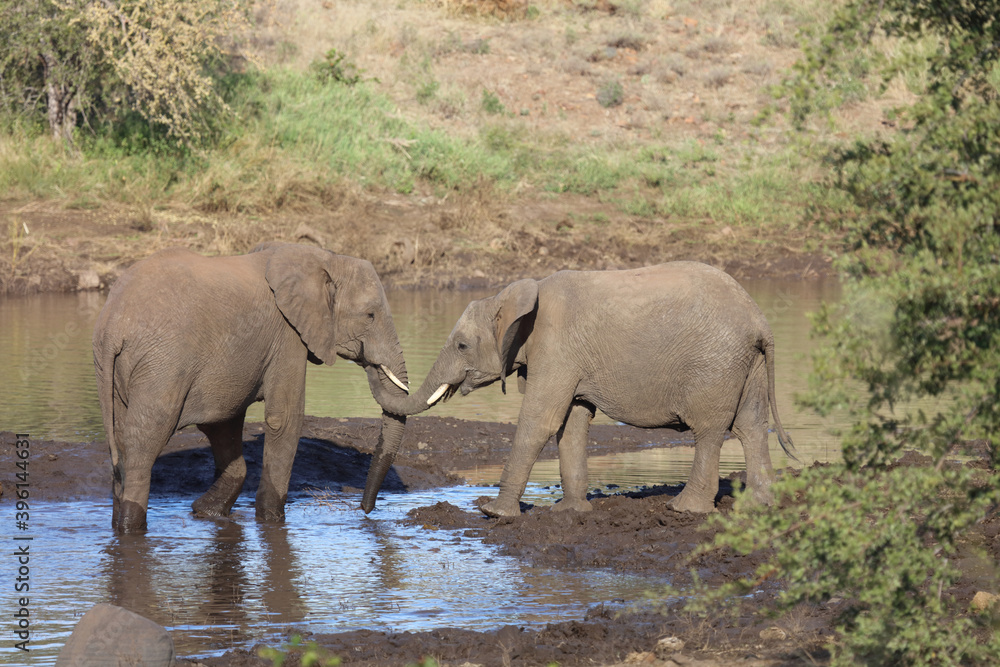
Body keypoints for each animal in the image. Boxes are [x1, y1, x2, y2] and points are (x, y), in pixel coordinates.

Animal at [92, 243, 410, 533]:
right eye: (370, 315)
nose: (364, 510)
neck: (324, 258)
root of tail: (113, 325)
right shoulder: (288, 335)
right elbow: (284, 419)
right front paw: (271, 520)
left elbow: (224, 425)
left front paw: (205, 512)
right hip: (163, 365)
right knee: (144, 442)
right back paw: (132, 528)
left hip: (114, 369)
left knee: (121, 443)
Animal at [366, 261, 798, 517]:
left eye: (460, 346)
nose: (367, 512)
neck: (518, 295)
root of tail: (759, 319)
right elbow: (572, 422)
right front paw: (569, 513)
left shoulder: (556, 348)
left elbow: (540, 420)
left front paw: (494, 513)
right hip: (748, 364)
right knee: (751, 425)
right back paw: (760, 504)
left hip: (715, 364)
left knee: (710, 430)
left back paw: (684, 509)